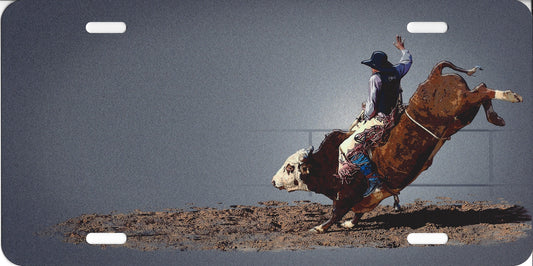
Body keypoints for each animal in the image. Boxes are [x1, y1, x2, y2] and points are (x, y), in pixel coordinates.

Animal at [272, 60, 520, 233]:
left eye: (289, 168)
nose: (273, 181)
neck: (330, 164)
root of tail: (434, 75)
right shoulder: (360, 199)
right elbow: (356, 212)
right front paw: (350, 224)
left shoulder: (347, 192)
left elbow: (336, 211)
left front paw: (319, 227)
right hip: (463, 115)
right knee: (481, 89)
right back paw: (497, 117)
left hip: (460, 104)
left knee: (481, 92)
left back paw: (511, 96)